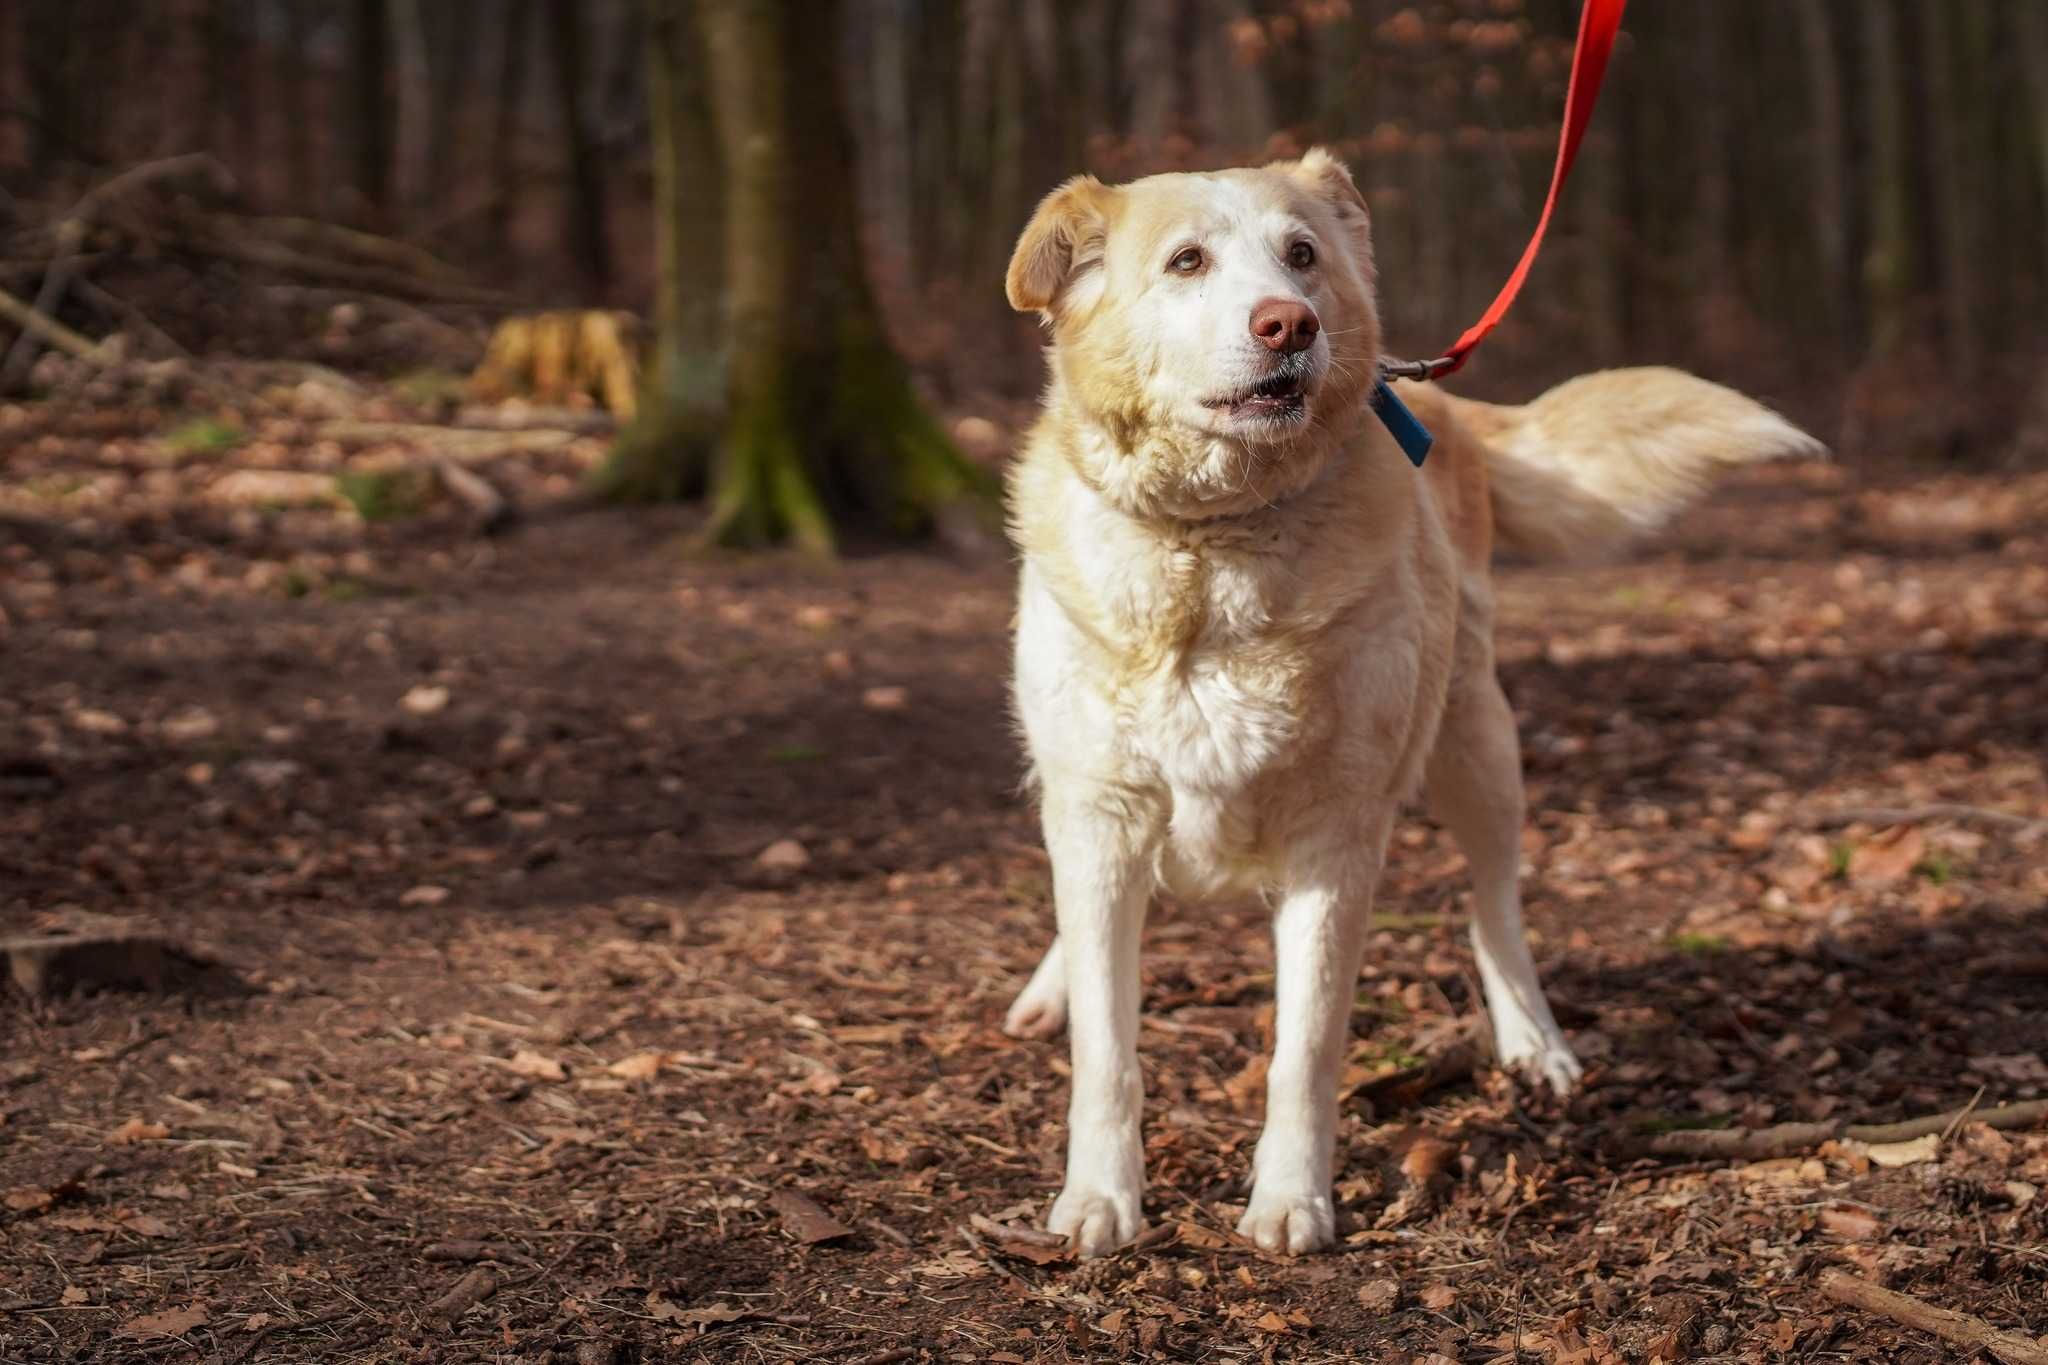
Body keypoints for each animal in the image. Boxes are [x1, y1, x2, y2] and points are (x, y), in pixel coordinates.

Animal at [999, 152, 1818, 1260]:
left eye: (1301, 254)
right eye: (1186, 261)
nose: (1288, 324)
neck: (1213, 546)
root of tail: (1438, 398)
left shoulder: (1336, 839)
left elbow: (1303, 1051)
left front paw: (1290, 1199)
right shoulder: (1100, 807)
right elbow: (1106, 1046)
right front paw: (1098, 1195)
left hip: (1477, 746)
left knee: (1494, 908)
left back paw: (1532, 1039)